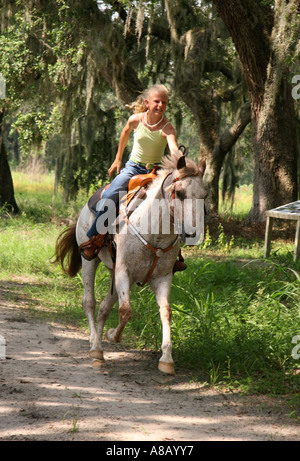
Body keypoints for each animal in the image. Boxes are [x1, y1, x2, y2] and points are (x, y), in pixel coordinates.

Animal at [54, 151, 206, 374]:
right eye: (179, 193)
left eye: (205, 195)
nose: (192, 233)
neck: (155, 232)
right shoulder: (124, 272)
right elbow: (125, 312)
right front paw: (112, 335)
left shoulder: (162, 278)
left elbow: (166, 311)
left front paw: (167, 359)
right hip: (90, 260)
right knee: (89, 302)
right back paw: (95, 347)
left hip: (114, 272)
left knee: (104, 308)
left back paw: (98, 344)